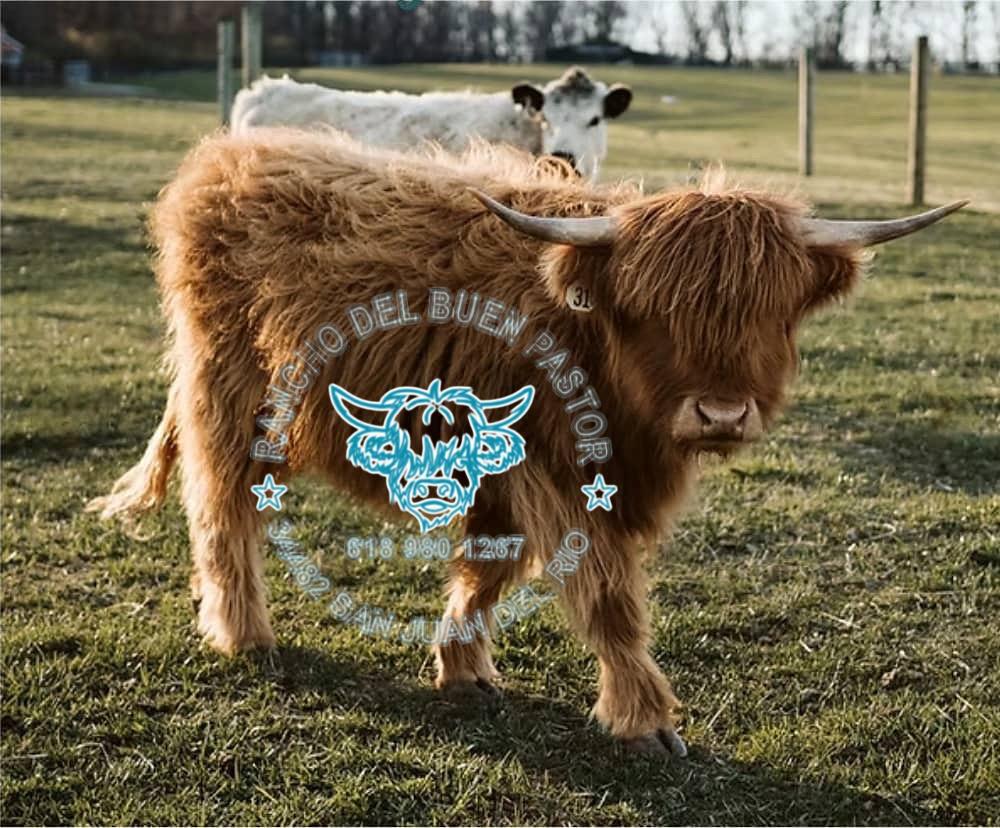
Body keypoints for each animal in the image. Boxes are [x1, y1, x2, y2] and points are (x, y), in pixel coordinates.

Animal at [88, 127, 964, 758]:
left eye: (773, 313)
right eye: (657, 312)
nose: (720, 414)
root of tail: (229, 158)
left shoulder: (507, 474)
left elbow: (489, 566)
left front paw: (461, 667)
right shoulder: (556, 474)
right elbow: (606, 592)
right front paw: (646, 719)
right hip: (229, 393)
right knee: (222, 509)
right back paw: (244, 634)